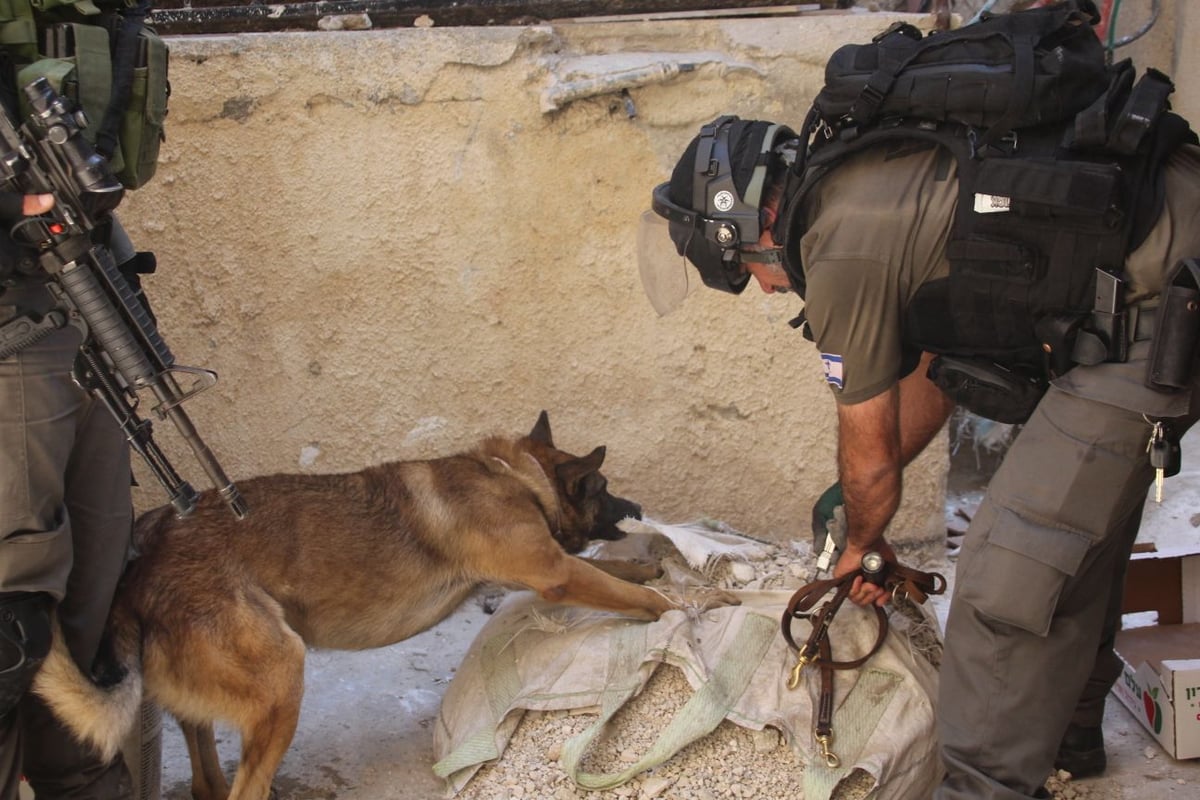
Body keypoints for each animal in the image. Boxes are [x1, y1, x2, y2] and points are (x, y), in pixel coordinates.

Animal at [35, 412, 729, 800]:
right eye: (603, 488)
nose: (637, 509)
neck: (513, 474)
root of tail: (144, 564)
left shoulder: (551, 568)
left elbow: (616, 571)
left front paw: (652, 566)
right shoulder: (554, 573)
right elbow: (630, 592)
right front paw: (693, 598)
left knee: (209, 779)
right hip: (283, 676)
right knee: (242, 788)